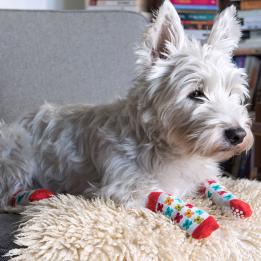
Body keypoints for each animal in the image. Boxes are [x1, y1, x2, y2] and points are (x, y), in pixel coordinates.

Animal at [0, 1, 252, 239]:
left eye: (232, 93)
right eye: (196, 94)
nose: (238, 134)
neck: (168, 147)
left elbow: (212, 185)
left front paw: (235, 204)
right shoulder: (122, 188)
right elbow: (165, 197)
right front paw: (209, 226)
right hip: (17, 151)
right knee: (7, 196)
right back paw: (38, 195)